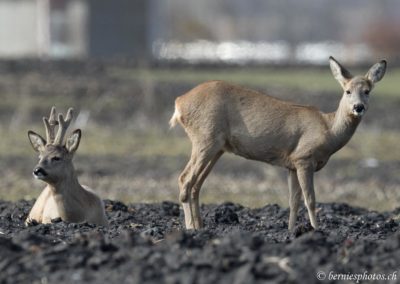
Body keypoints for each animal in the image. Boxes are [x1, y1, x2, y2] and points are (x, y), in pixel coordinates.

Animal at [170, 56, 386, 231]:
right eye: (347, 91)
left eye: (367, 91)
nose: (358, 107)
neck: (329, 129)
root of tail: (179, 102)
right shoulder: (304, 158)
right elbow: (310, 199)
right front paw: (317, 230)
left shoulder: (291, 164)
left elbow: (293, 200)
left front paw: (291, 231)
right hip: (205, 138)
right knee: (185, 179)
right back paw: (191, 228)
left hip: (217, 147)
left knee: (196, 185)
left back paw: (200, 226)